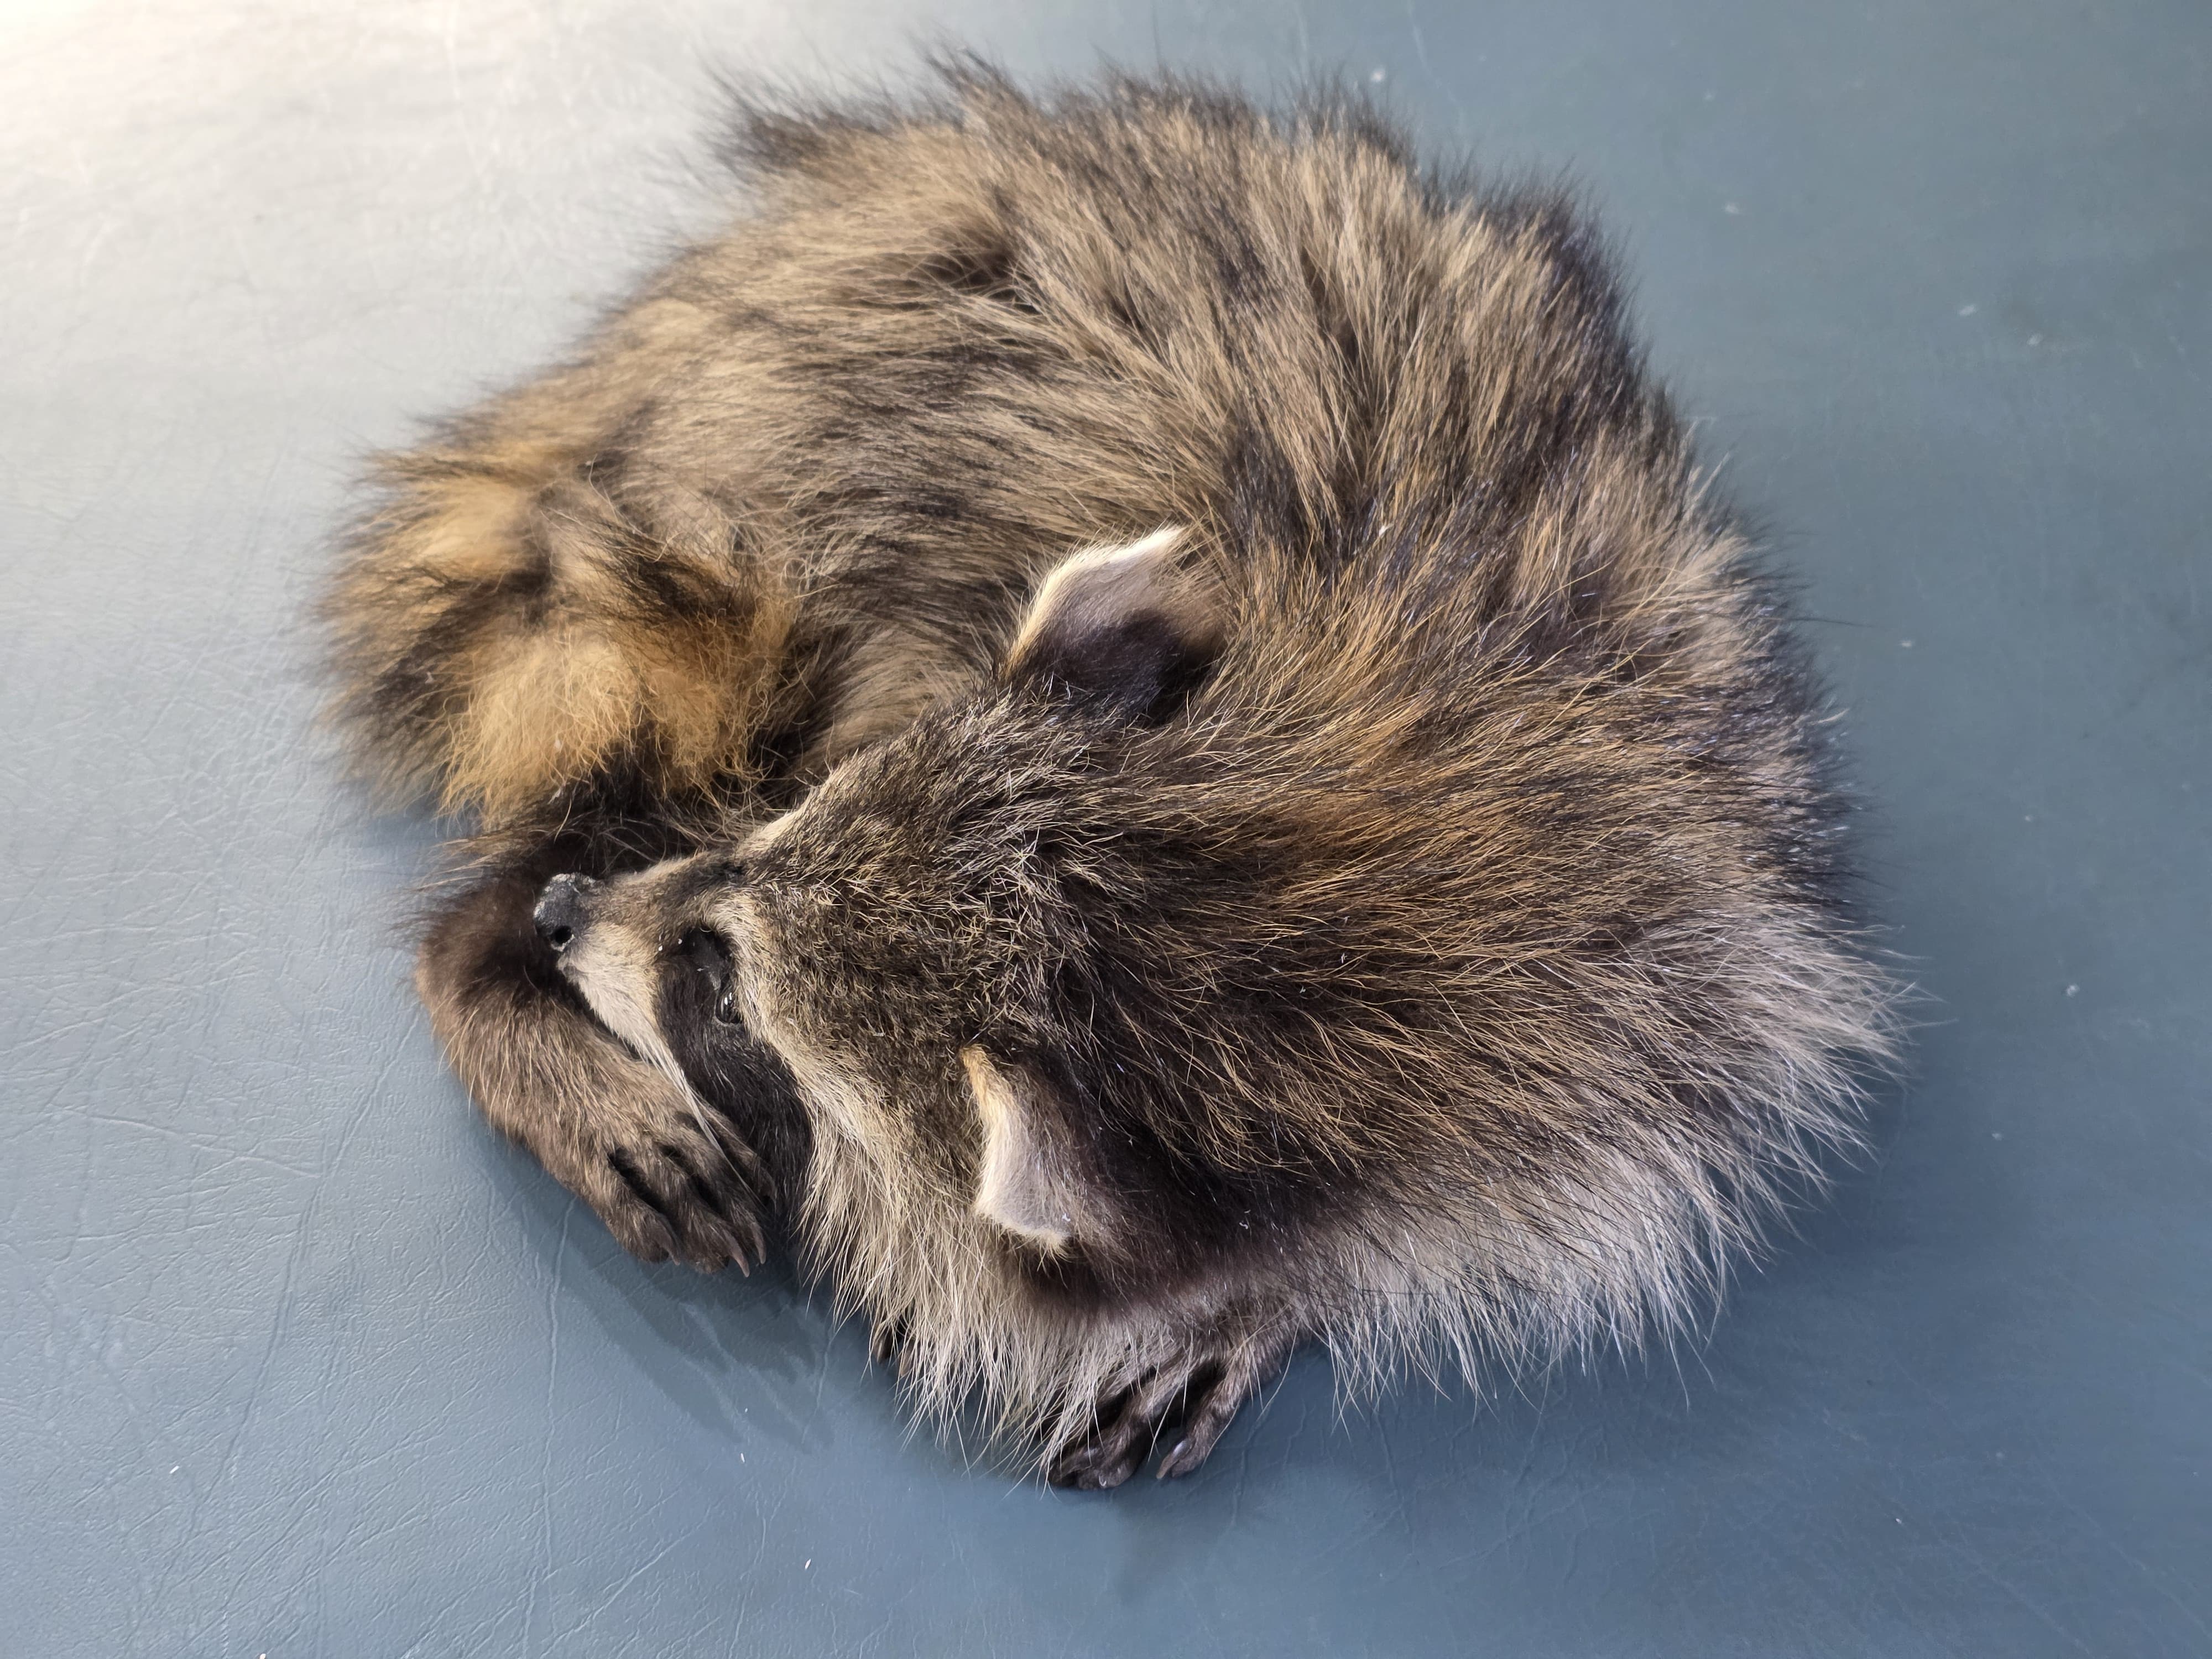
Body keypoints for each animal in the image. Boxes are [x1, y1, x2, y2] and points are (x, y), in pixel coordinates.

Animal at [324, 63, 1899, 1486]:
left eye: (722, 997)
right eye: (763, 846)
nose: (569, 921)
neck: (1323, 843)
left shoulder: (1690, 903)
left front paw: (1280, 1290)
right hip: (752, 510)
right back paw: (488, 952)